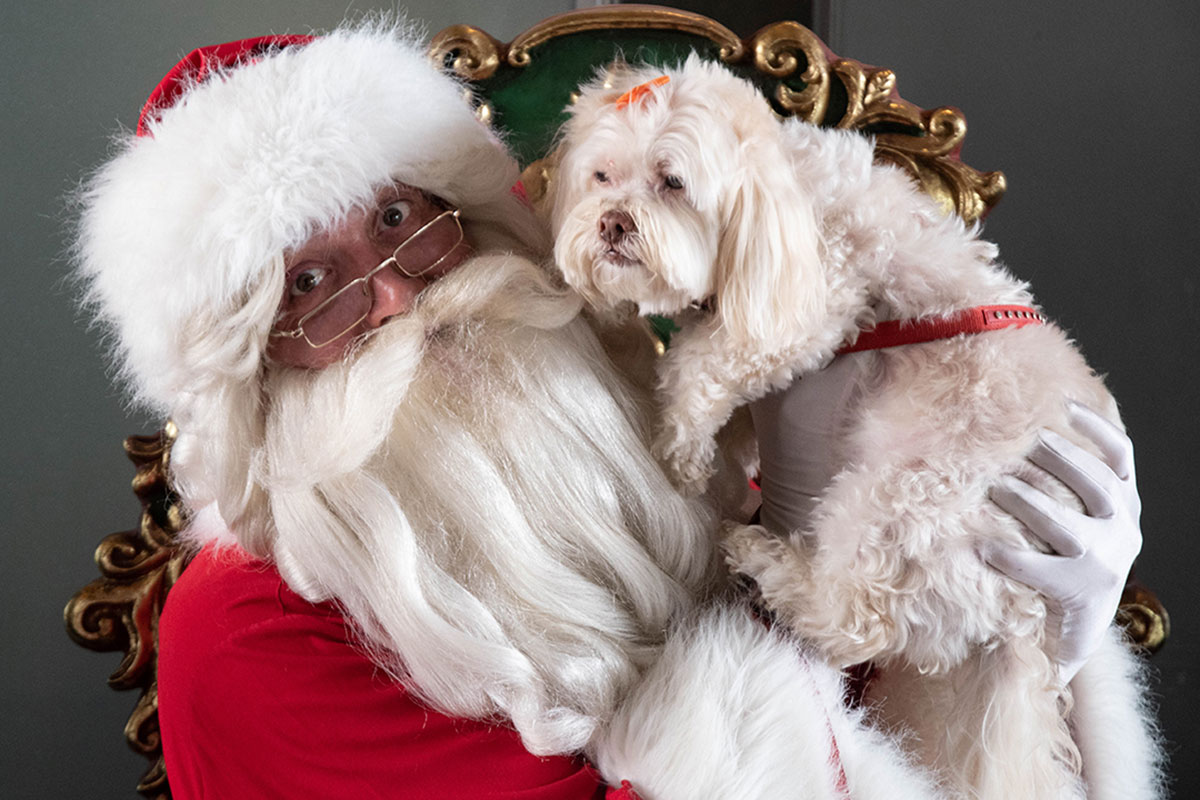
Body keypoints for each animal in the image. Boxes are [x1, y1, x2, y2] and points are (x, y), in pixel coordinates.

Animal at [552, 57, 1161, 800]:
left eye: (672, 182)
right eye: (601, 176)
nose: (611, 224)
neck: (781, 184)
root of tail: (1026, 618)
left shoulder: (811, 305)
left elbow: (700, 365)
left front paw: (682, 451)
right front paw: (721, 453)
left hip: (909, 491)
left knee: (855, 621)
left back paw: (761, 556)